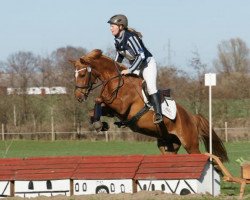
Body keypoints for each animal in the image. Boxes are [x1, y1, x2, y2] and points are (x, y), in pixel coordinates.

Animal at [69, 48, 229, 162]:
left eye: (82, 75)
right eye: (75, 75)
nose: (78, 97)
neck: (115, 81)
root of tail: (192, 117)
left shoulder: (121, 106)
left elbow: (98, 100)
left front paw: (99, 124)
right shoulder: (112, 109)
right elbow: (94, 111)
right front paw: (100, 124)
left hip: (190, 143)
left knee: (198, 153)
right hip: (168, 144)